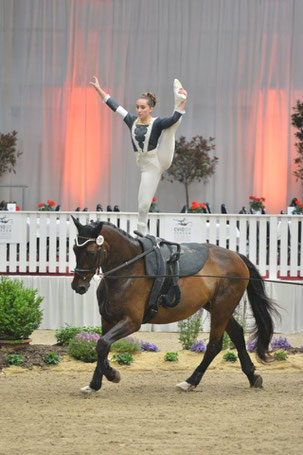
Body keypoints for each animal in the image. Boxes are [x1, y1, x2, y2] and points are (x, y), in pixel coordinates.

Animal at [70, 217, 278, 396]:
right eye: (74, 249)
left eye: (90, 252)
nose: (78, 286)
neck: (128, 271)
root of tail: (236, 256)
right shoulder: (107, 319)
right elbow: (102, 347)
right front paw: (94, 384)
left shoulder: (131, 322)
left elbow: (103, 344)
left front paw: (113, 375)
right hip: (217, 307)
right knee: (236, 334)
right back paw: (252, 376)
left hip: (222, 307)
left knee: (214, 345)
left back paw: (190, 381)